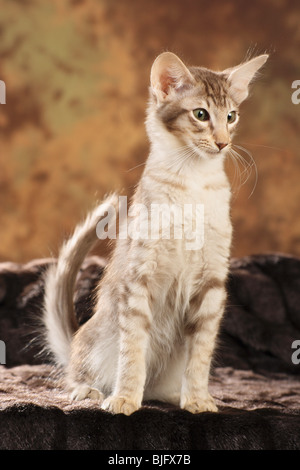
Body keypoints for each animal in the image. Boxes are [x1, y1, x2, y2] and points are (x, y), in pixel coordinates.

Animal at [41, 50, 268, 414]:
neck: (193, 182)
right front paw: (124, 398)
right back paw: (88, 391)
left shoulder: (213, 281)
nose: (223, 143)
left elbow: (201, 353)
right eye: (201, 114)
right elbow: (133, 350)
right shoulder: (139, 276)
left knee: (160, 385)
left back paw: (173, 395)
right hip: (95, 341)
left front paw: (198, 399)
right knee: (77, 372)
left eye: (231, 116)